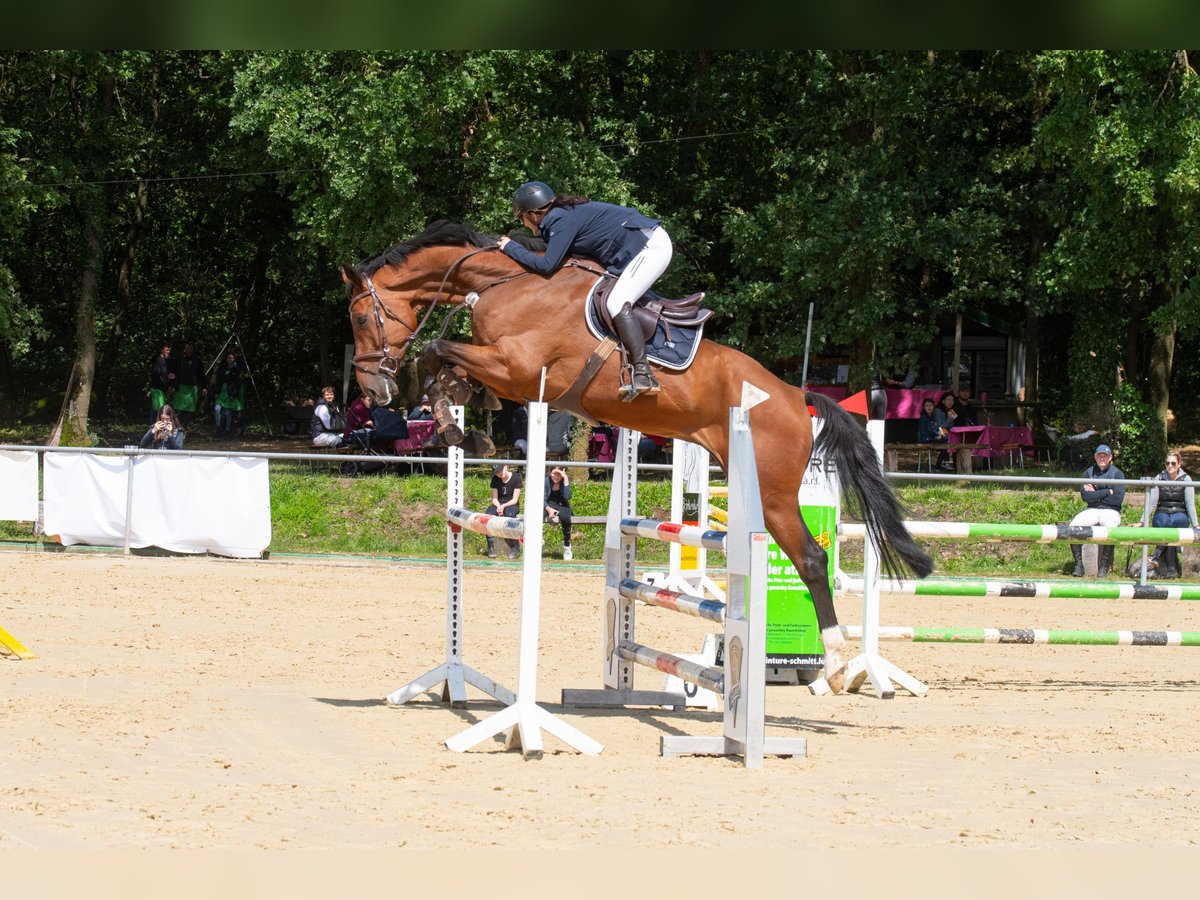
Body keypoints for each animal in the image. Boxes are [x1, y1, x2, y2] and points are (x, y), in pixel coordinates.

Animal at [343, 220, 931, 696]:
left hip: (776, 493)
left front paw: (451, 417)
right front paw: (461, 428)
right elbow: (445, 369)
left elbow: (434, 351)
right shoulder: (505, 372)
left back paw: (833, 665)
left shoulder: (518, 367)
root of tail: (794, 394)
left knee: (810, 560)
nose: (372, 390)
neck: (504, 283)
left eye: (360, 317)